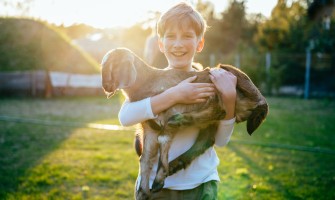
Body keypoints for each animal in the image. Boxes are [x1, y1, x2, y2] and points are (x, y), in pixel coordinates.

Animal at [101, 47, 270, 199]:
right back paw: (175, 164)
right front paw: (143, 191)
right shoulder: (149, 128)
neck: (150, 81)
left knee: (219, 109)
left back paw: (178, 123)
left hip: (224, 80)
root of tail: (260, 99)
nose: (105, 87)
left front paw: (158, 181)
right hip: (211, 123)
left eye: (113, 66)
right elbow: (145, 158)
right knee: (207, 138)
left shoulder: (169, 112)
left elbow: (163, 141)